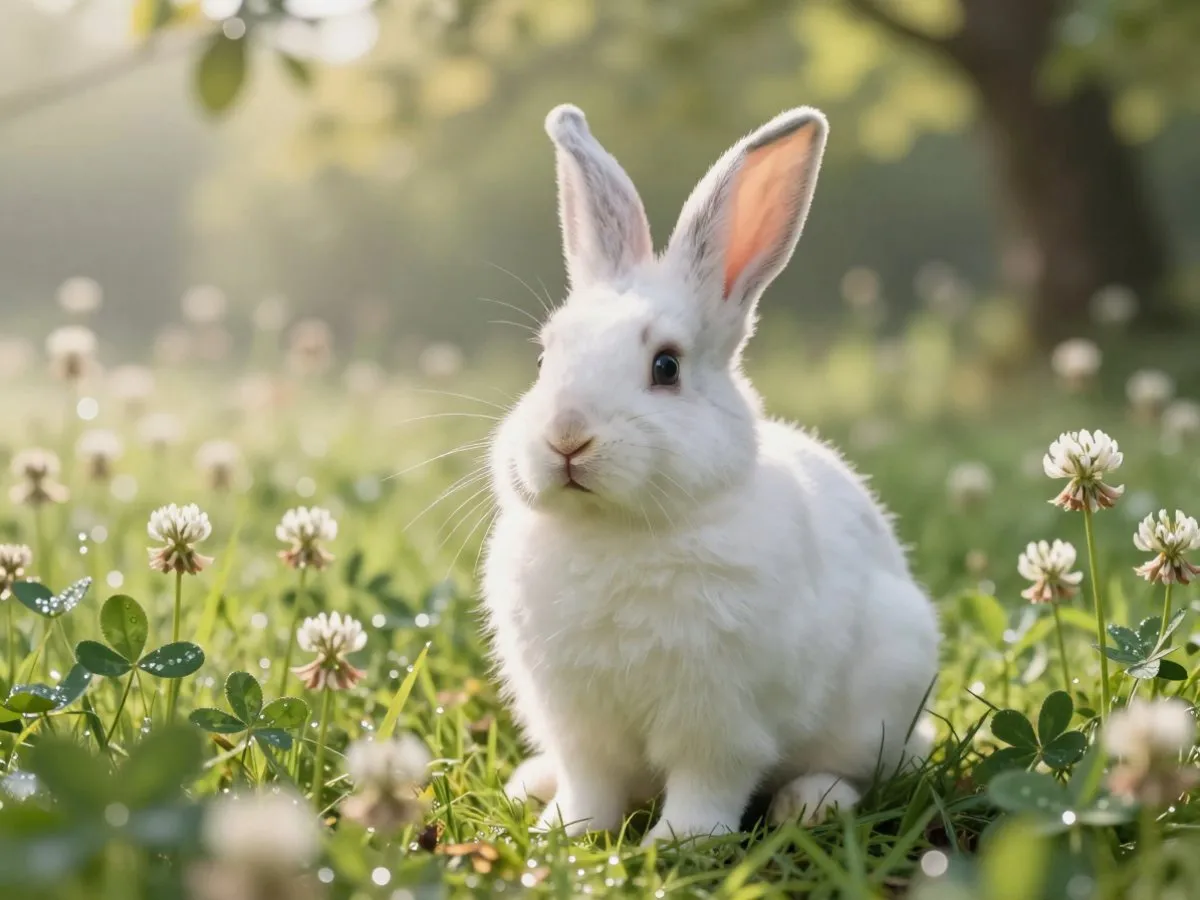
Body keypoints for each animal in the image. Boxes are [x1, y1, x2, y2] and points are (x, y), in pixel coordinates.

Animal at [481, 102, 940, 844]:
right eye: (545, 359)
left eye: (666, 366)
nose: (567, 438)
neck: (614, 532)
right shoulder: (579, 725)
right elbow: (590, 784)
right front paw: (564, 834)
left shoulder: (719, 719)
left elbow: (708, 782)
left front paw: (681, 843)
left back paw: (812, 804)